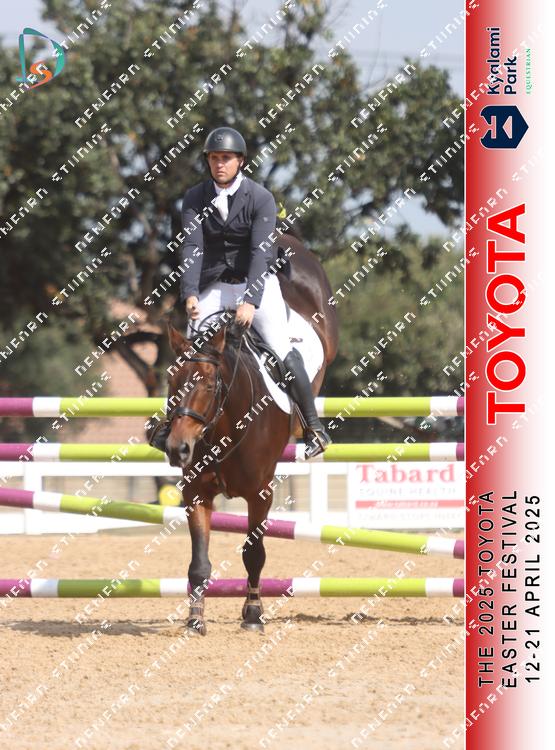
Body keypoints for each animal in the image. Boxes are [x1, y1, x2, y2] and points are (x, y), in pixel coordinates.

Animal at [165, 235, 338, 635]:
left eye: (209, 385)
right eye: (171, 383)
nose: (177, 449)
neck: (224, 427)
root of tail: (287, 240)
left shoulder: (261, 494)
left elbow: (253, 552)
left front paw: (254, 614)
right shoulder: (196, 493)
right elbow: (198, 563)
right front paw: (195, 619)